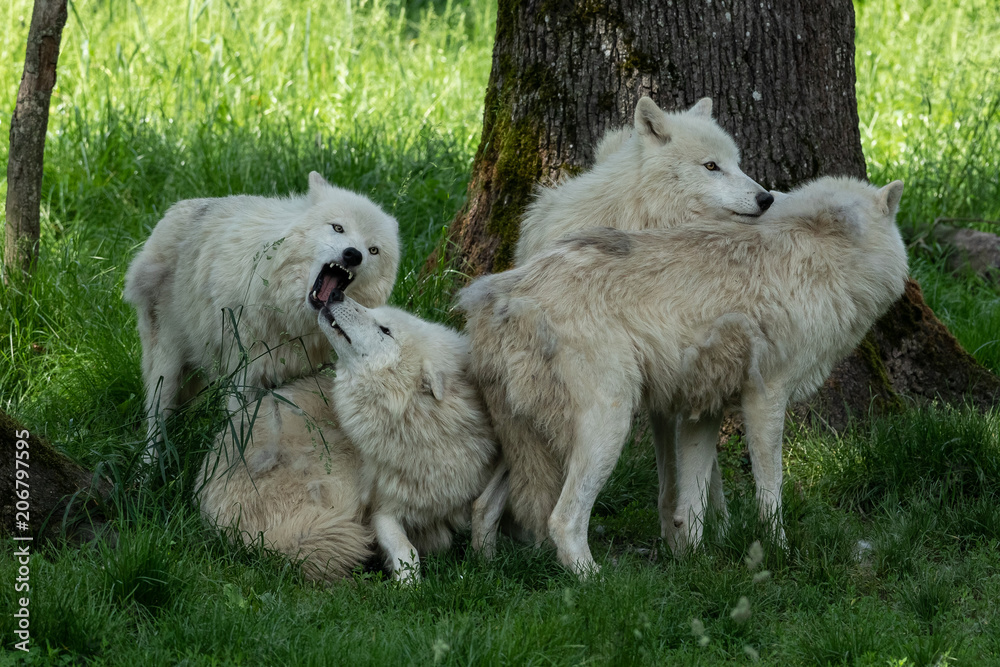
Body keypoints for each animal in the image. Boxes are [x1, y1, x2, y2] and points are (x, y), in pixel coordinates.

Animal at [124, 172, 400, 457]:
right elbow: (241, 424)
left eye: (373, 250)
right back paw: (148, 466)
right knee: (156, 418)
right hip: (167, 364)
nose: (353, 255)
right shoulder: (246, 373)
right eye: (338, 228)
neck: (288, 314)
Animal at [320, 295, 498, 582]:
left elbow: (484, 516)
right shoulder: (382, 512)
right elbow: (406, 549)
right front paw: (408, 584)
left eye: (385, 330)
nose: (335, 294)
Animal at [460, 176, 908, 576]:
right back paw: (598, 582)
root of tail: (502, 297)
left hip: (532, 439)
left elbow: (691, 502)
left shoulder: (702, 410)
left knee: (483, 507)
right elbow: (770, 491)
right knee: (562, 521)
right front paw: (779, 552)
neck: (822, 255)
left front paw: (694, 562)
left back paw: (485, 572)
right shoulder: (766, 397)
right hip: (607, 428)